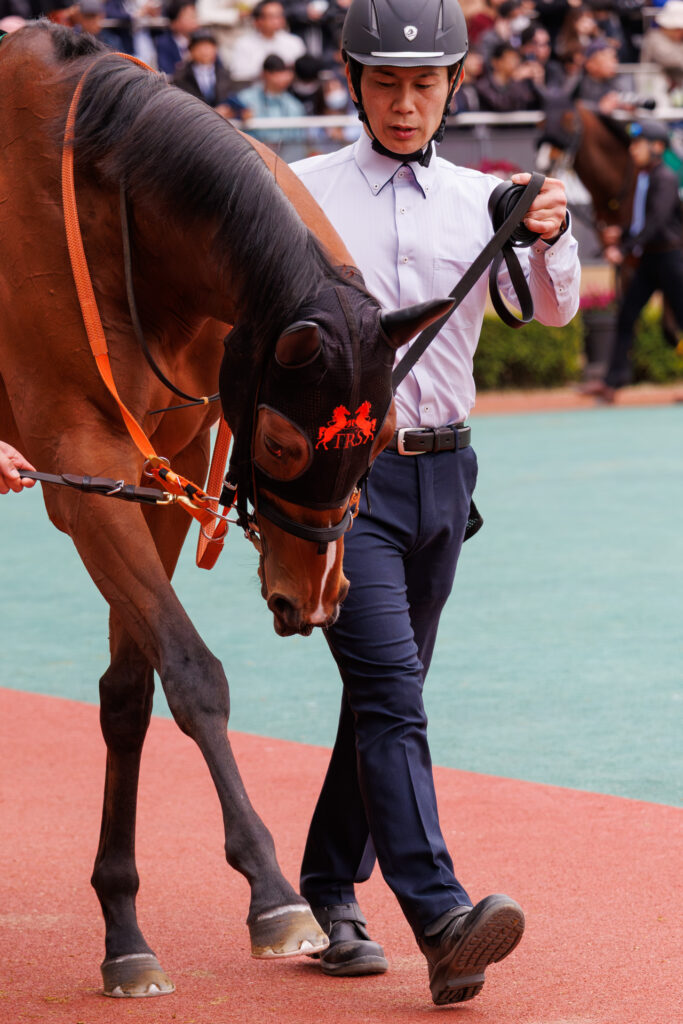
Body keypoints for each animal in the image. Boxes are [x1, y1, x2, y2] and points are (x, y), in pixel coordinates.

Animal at [0, 22, 453, 998]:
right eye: (281, 446)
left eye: (381, 440)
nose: (313, 597)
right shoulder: (79, 467)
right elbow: (193, 672)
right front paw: (275, 895)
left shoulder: (163, 469)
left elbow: (130, 694)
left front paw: (124, 933)